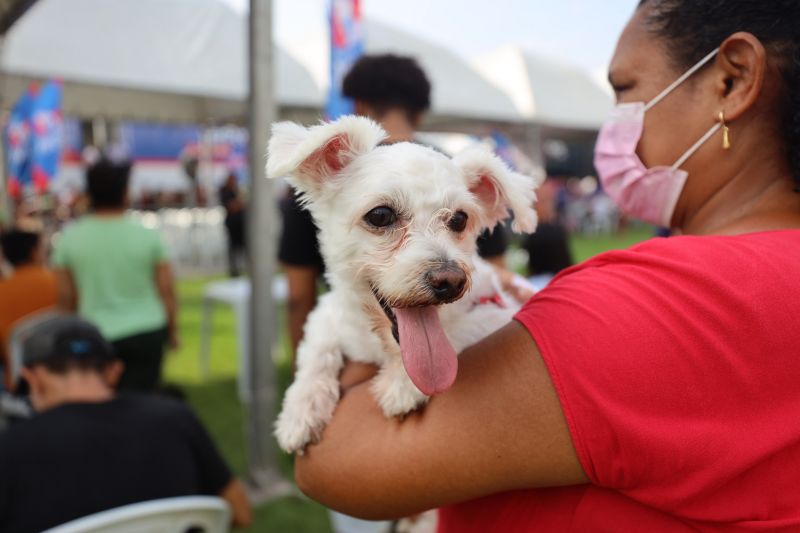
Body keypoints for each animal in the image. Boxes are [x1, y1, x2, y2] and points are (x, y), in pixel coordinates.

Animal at [272, 116, 540, 454]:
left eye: (460, 219)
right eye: (380, 215)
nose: (450, 280)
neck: (381, 344)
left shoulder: (493, 312)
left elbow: (462, 330)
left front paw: (403, 384)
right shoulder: (328, 313)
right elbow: (317, 351)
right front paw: (301, 409)